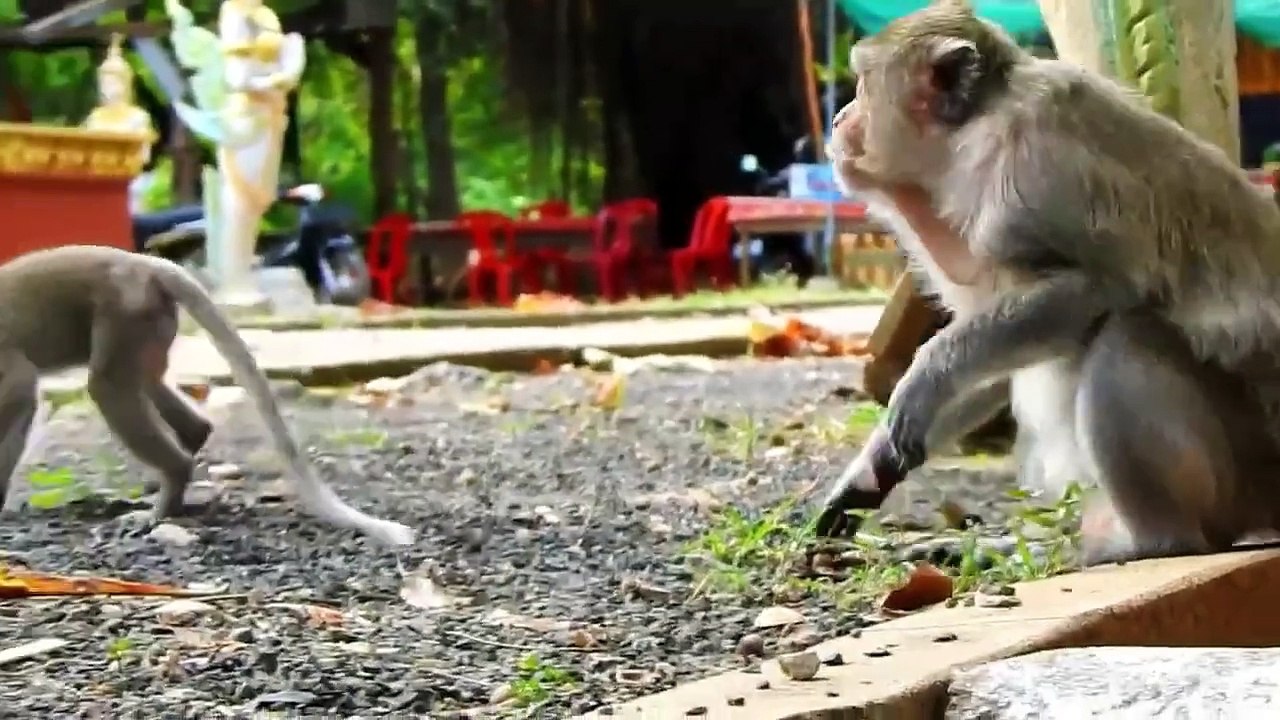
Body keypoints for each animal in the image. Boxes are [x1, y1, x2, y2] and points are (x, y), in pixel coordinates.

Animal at [0, 245, 416, 547]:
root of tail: (146, 264)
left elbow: (22, 388)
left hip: (127, 310)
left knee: (108, 385)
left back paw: (168, 493)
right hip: (147, 320)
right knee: (144, 381)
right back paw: (187, 449)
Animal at [811, 0, 1280, 566]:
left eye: (860, 83)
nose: (840, 118)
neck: (970, 135)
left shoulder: (1033, 165)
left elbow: (1095, 289)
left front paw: (926, 378)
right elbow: (993, 351)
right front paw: (870, 470)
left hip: (1246, 469)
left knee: (1124, 333)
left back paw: (1148, 541)